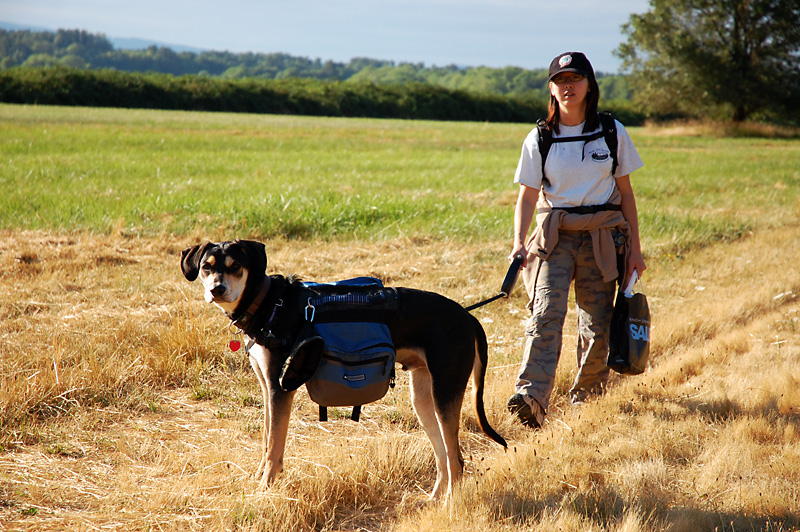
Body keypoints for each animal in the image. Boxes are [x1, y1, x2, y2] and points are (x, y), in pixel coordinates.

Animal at [181, 239, 506, 500]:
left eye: (235, 266)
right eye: (207, 267)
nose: (217, 289)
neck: (270, 302)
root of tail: (467, 316)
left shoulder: (280, 387)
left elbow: (274, 447)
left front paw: (265, 488)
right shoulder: (267, 387)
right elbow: (266, 439)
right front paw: (260, 478)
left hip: (445, 392)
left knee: (457, 462)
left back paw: (449, 504)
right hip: (425, 399)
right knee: (443, 458)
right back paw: (433, 501)